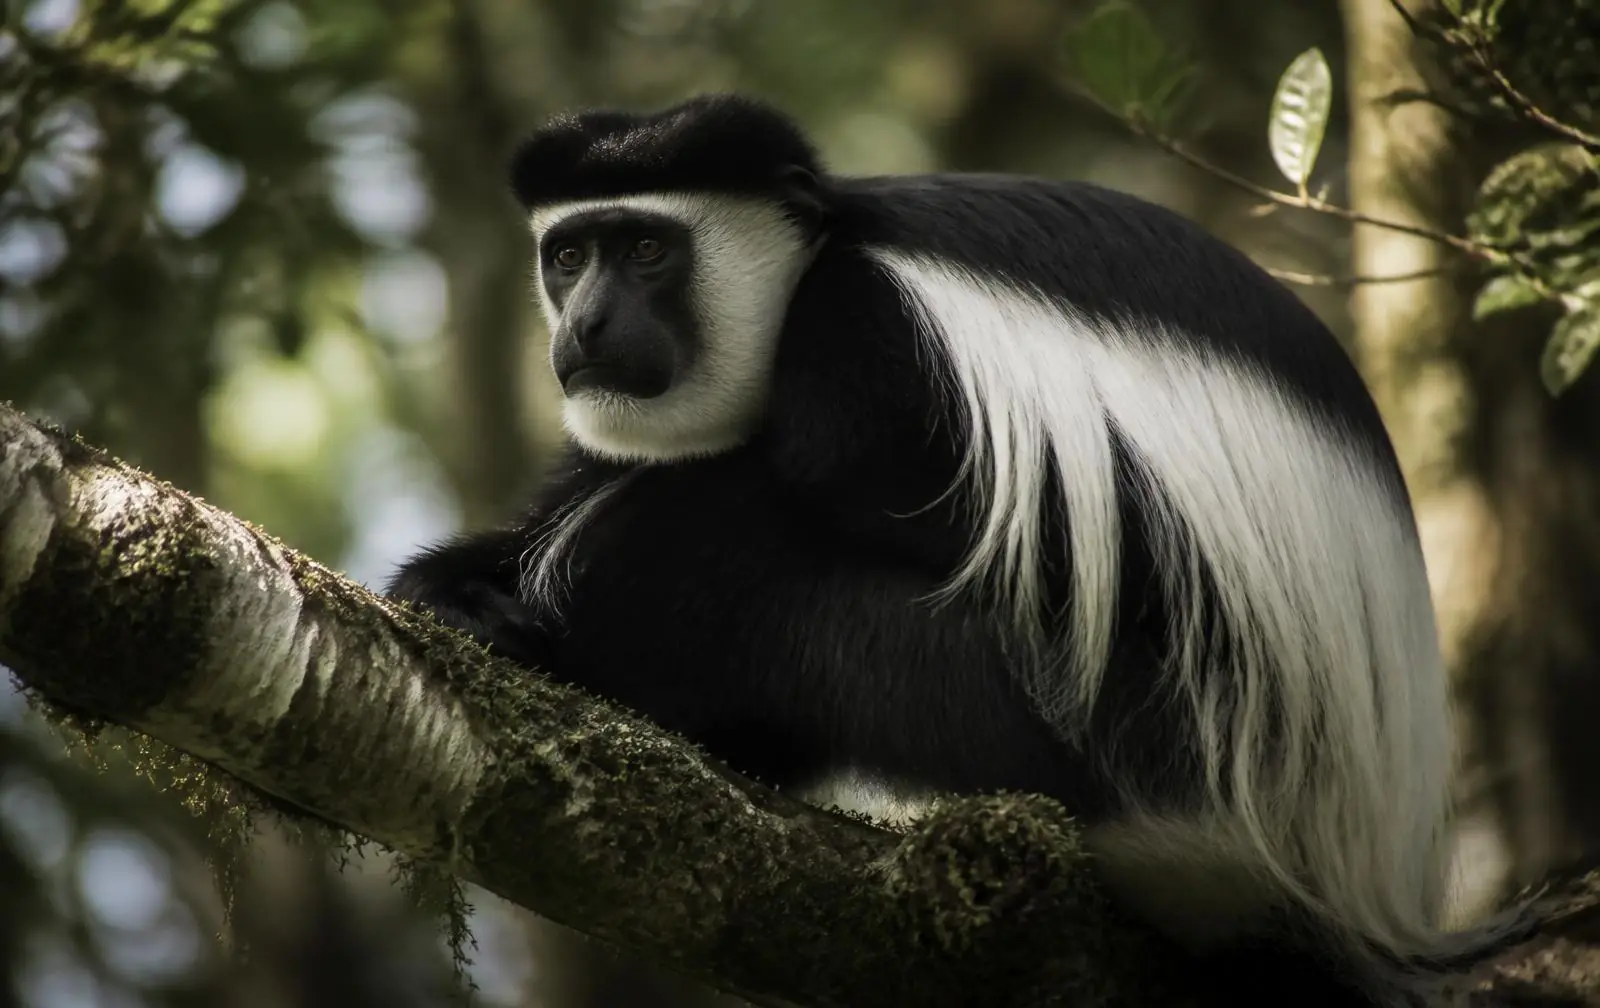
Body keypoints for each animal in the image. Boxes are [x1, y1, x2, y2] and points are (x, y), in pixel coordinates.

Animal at [388, 92, 1529, 1003]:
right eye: (568, 255)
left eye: (648, 251)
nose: (582, 326)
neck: (819, 254)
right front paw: (457, 582)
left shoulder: (872, 339)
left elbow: (884, 507)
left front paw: (533, 583)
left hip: (1109, 741)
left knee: (760, 570)